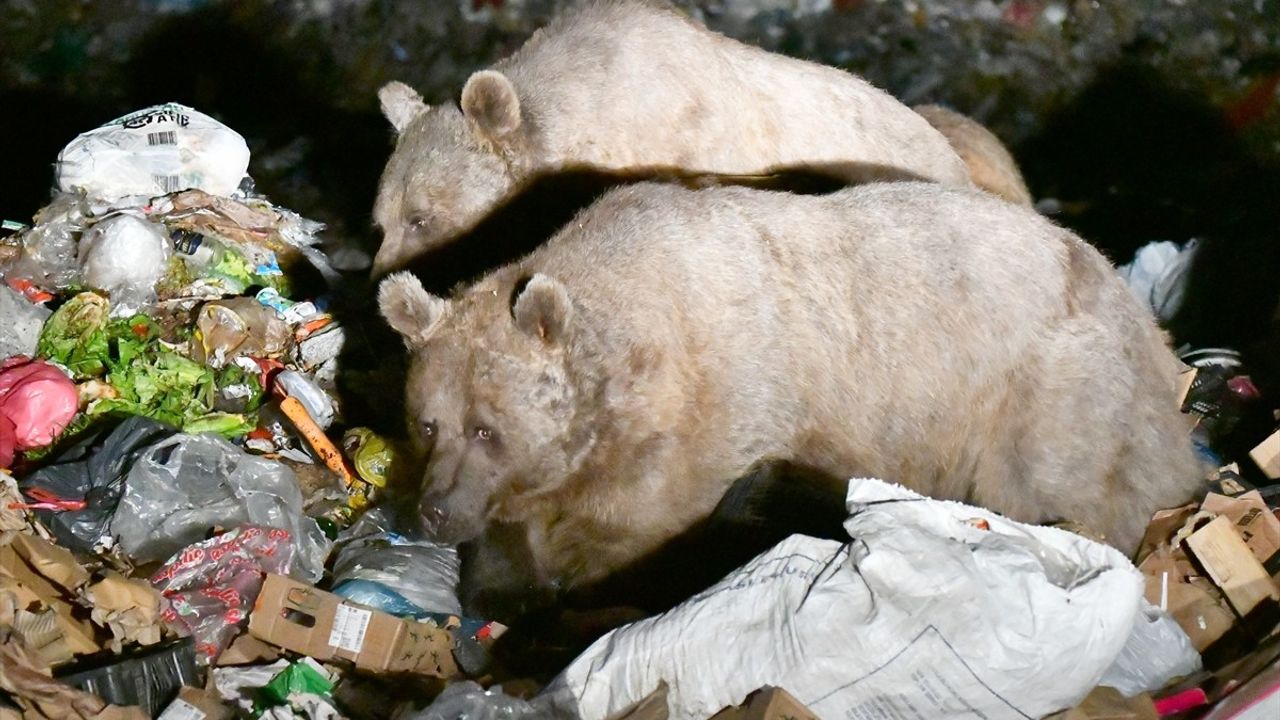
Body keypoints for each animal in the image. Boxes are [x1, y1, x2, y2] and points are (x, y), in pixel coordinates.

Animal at [373, 179, 1203, 609]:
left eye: (488, 428)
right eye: (427, 422)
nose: (433, 511)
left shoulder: (705, 423)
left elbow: (628, 538)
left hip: (1054, 393)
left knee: (1061, 485)